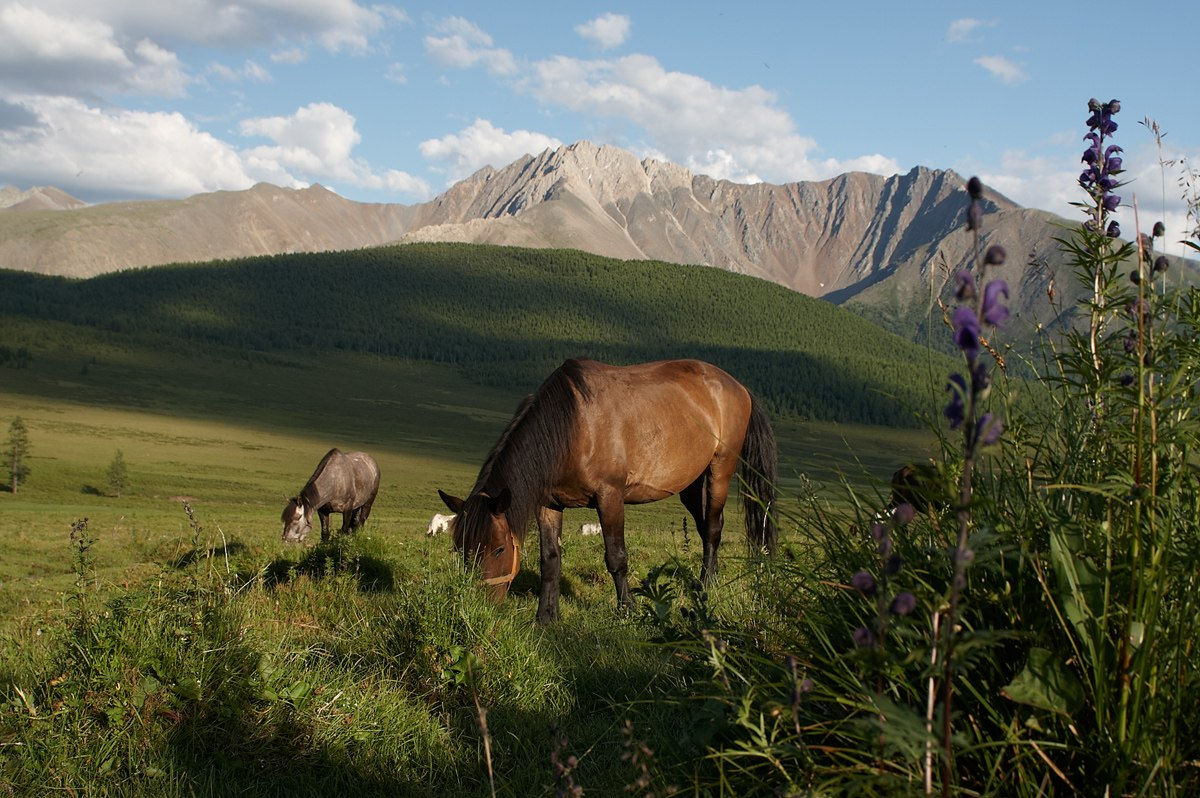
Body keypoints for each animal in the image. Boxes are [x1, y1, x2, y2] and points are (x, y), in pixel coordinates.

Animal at [439, 357, 777, 624]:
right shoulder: (548, 504)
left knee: (713, 528)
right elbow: (550, 560)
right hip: (690, 484)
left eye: (498, 549)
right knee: (705, 525)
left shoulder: (610, 497)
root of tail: (738, 386)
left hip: (720, 469)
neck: (573, 426)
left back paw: (707, 585)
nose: (479, 606)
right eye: (459, 548)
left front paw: (627, 609)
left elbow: (616, 557)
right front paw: (546, 616)